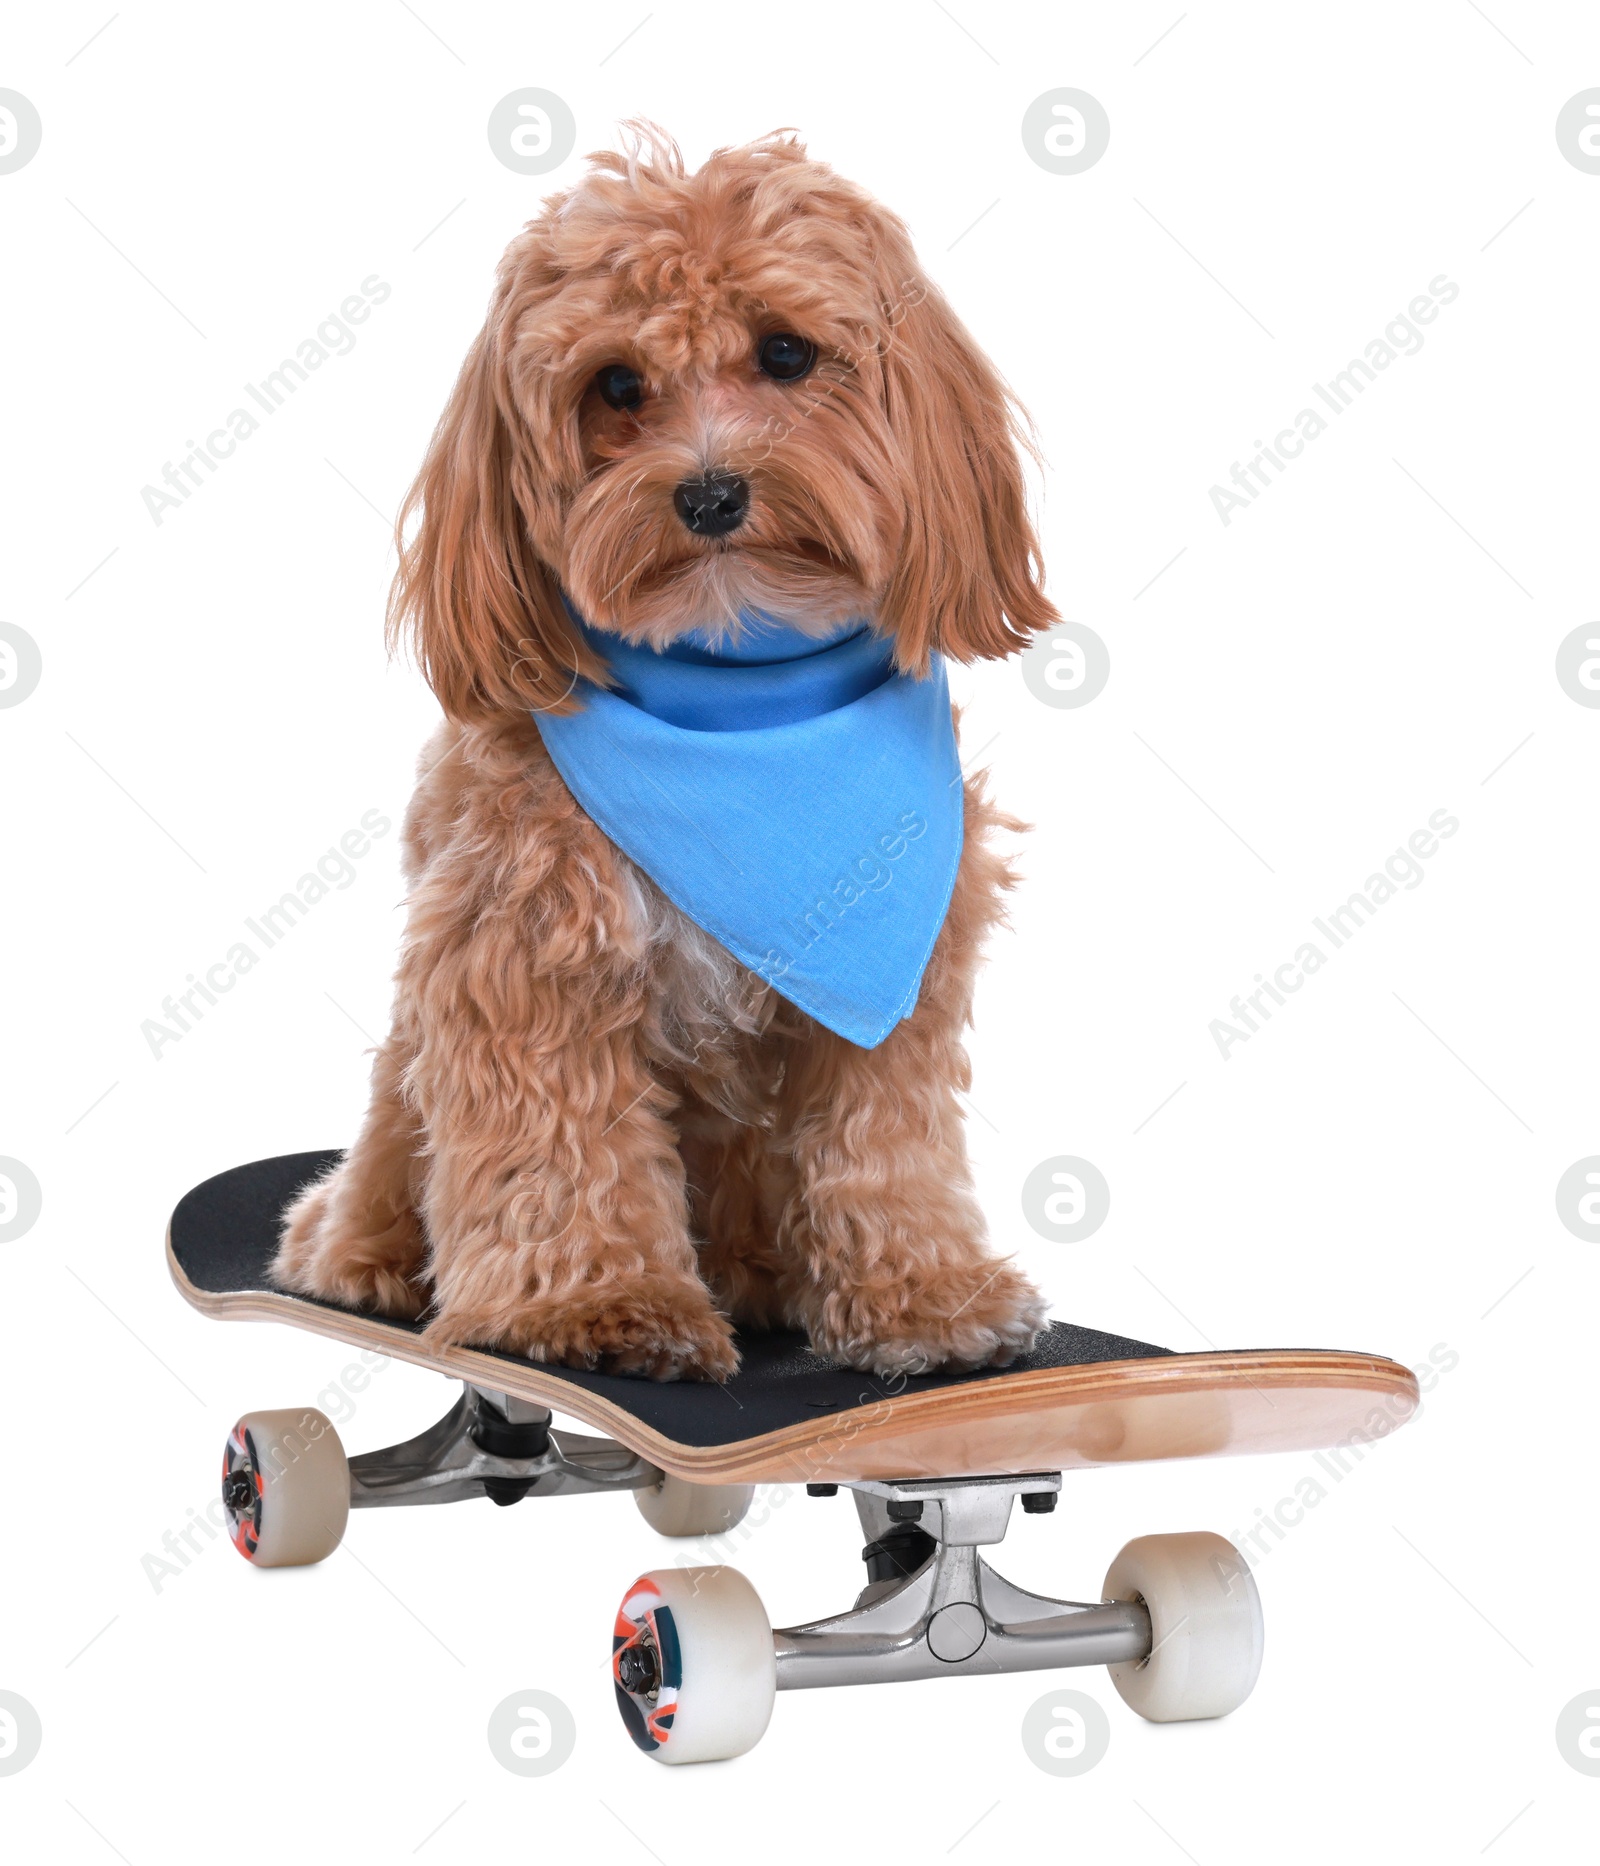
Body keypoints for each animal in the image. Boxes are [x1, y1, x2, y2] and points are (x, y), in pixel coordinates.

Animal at [274, 124, 1060, 1380]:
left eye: (786, 352)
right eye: (615, 386)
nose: (709, 492)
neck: (738, 696)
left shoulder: (893, 966)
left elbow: (884, 1143)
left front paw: (923, 1296)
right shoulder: (524, 948)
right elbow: (557, 1146)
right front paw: (594, 1306)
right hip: (403, 1087)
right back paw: (360, 1251)